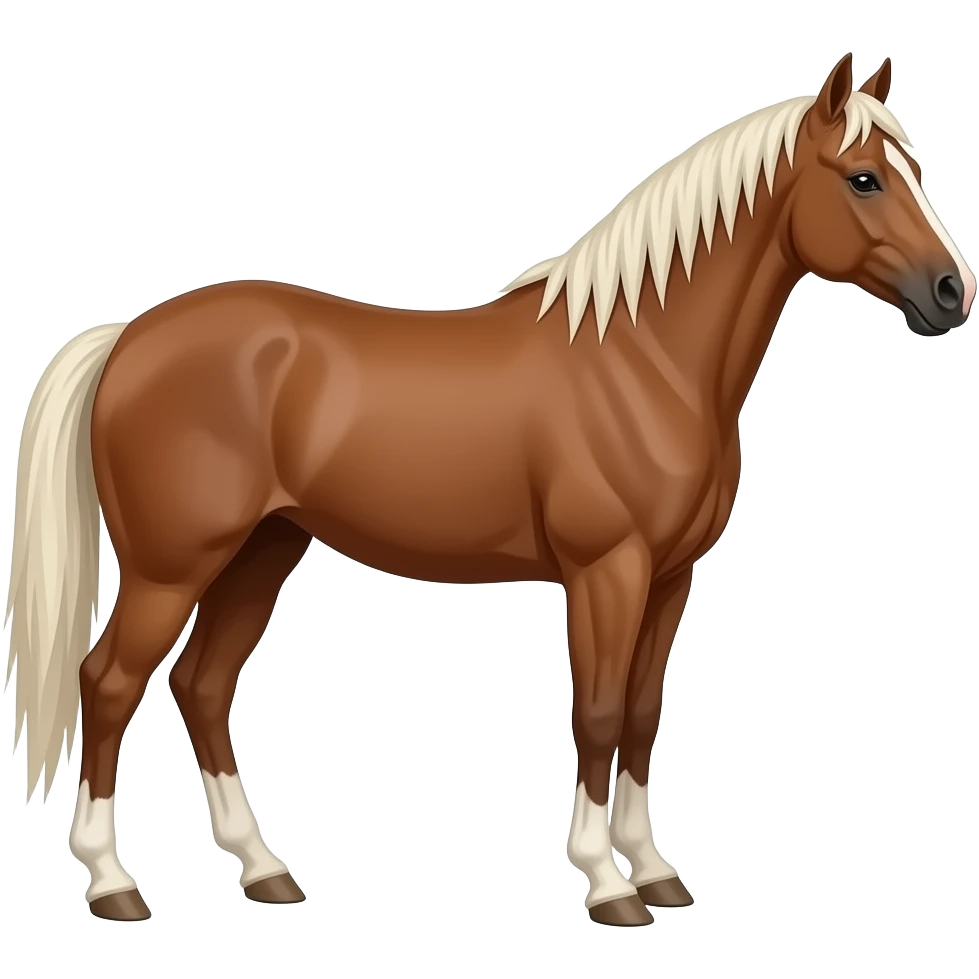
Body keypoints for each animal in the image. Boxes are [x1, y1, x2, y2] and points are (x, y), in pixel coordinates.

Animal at [4, 52, 975, 927]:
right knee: (109, 681)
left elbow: (642, 717)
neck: (643, 358)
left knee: (202, 685)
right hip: (173, 566)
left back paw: (265, 870)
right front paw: (608, 884)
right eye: (862, 179)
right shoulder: (606, 572)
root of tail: (129, 336)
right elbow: (598, 712)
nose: (950, 292)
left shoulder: (670, 578)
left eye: (916, 170)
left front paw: (657, 870)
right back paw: (114, 883)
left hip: (262, 550)